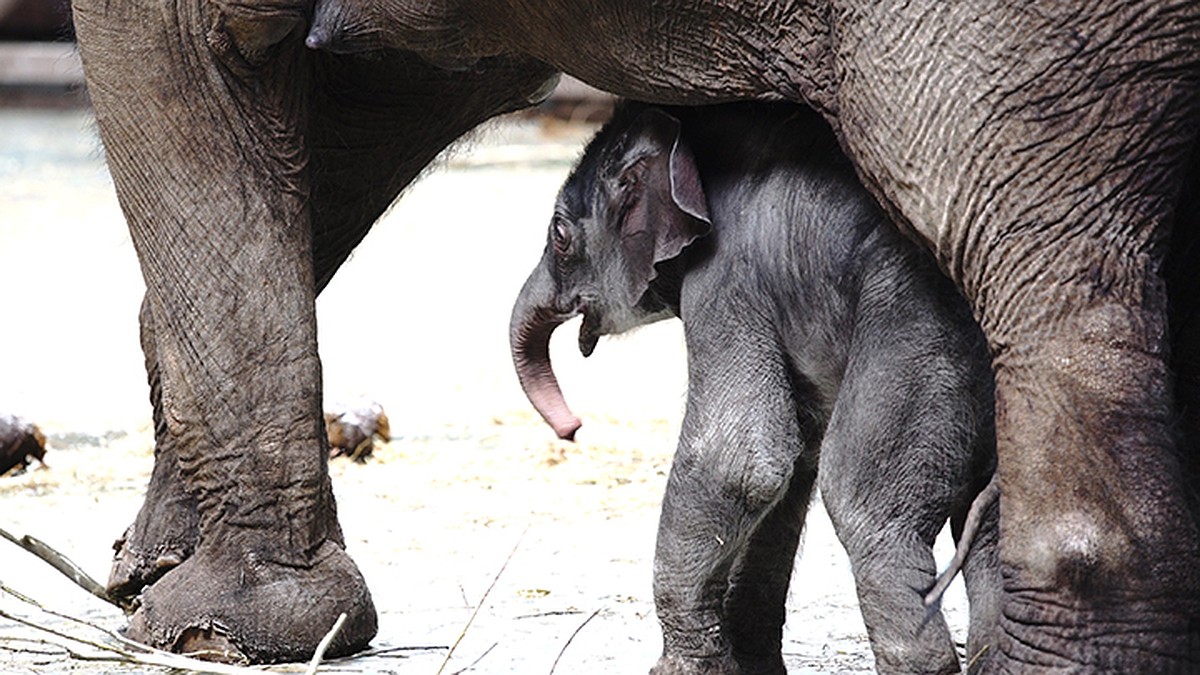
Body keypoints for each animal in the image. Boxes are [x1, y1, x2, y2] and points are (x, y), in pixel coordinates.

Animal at [511, 102, 998, 667]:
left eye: (559, 235)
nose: (572, 429)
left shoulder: (725, 281)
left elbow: (739, 463)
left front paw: (681, 669)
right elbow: (790, 467)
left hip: (918, 341)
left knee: (866, 505)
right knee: (991, 530)